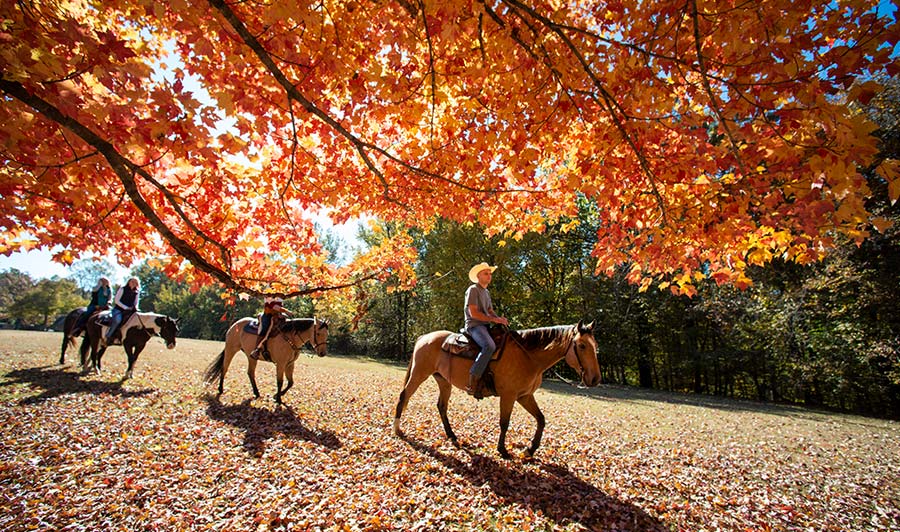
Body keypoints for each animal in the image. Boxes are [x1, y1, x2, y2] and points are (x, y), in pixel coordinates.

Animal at [392, 320, 596, 458]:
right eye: (582, 346)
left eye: (595, 347)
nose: (595, 379)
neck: (528, 356)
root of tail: (424, 337)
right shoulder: (509, 396)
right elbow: (504, 422)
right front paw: (503, 450)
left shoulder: (525, 396)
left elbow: (541, 419)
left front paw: (530, 450)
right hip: (419, 373)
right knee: (404, 396)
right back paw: (397, 429)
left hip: (443, 381)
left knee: (441, 406)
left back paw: (452, 435)